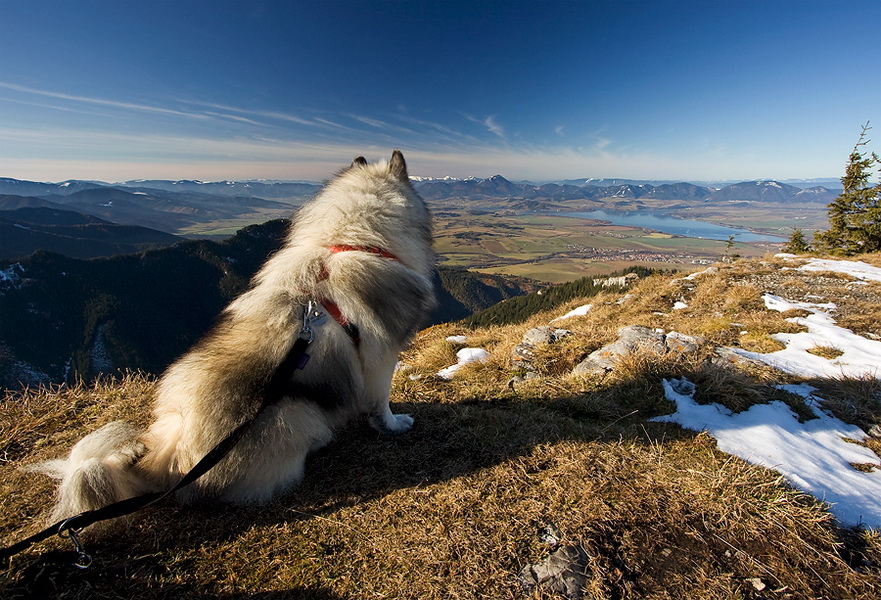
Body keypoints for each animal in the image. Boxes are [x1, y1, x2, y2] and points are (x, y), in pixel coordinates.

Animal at [34, 150, 436, 524]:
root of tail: (169, 463)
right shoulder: (381, 357)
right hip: (295, 413)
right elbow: (380, 402)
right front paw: (394, 425)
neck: (348, 241)